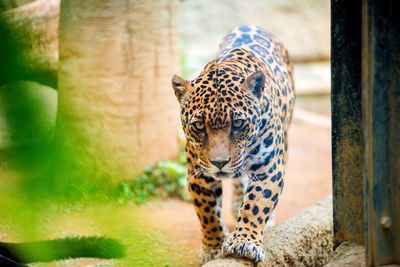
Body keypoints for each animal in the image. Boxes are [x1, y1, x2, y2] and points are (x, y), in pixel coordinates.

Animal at [170, 24, 296, 264]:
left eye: (238, 123)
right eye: (199, 125)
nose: (219, 163)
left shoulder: (269, 168)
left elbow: (257, 203)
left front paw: (244, 242)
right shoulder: (198, 173)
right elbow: (207, 212)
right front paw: (213, 247)